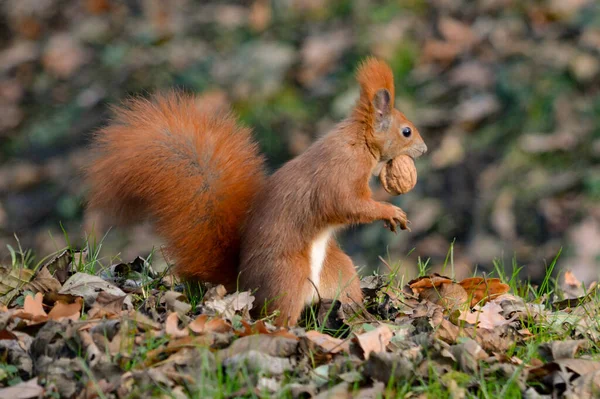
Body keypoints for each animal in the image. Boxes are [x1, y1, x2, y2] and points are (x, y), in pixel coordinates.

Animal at [86, 57, 428, 326]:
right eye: (406, 131)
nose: (423, 150)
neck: (358, 141)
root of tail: (243, 284)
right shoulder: (340, 174)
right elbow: (348, 204)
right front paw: (391, 212)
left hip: (338, 272)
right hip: (288, 277)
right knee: (278, 316)